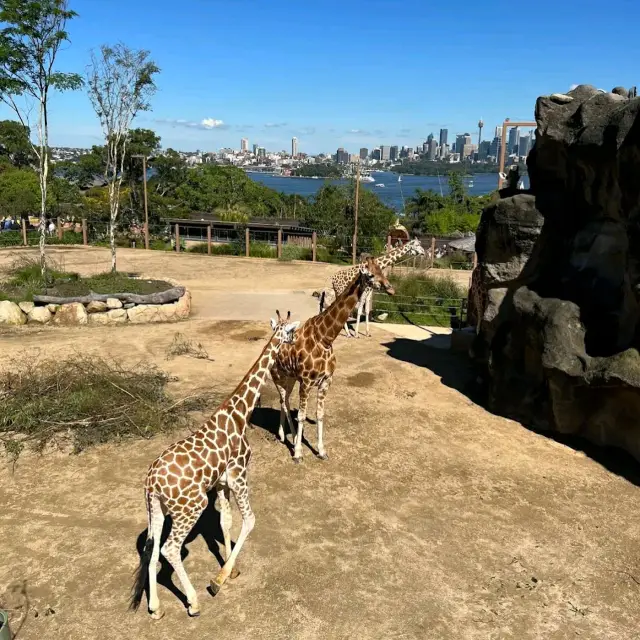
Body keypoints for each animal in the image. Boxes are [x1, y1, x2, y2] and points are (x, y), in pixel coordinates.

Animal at [131, 310, 302, 620]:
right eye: (291, 333)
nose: (293, 346)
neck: (240, 413)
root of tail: (151, 483)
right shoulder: (239, 475)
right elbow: (249, 520)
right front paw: (218, 580)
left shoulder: (222, 482)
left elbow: (226, 521)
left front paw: (230, 569)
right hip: (191, 507)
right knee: (170, 550)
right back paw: (193, 602)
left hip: (156, 510)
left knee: (152, 550)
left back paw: (155, 608)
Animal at [272, 258, 388, 462]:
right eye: (370, 274)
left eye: (381, 270)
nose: (390, 287)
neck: (325, 338)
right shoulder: (306, 382)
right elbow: (302, 416)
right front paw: (298, 453)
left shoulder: (326, 381)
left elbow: (319, 414)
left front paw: (321, 451)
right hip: (278, 377)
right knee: (284, 402)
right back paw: (289, 439)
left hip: (290, 378)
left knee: (283, 401)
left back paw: (286, 436)